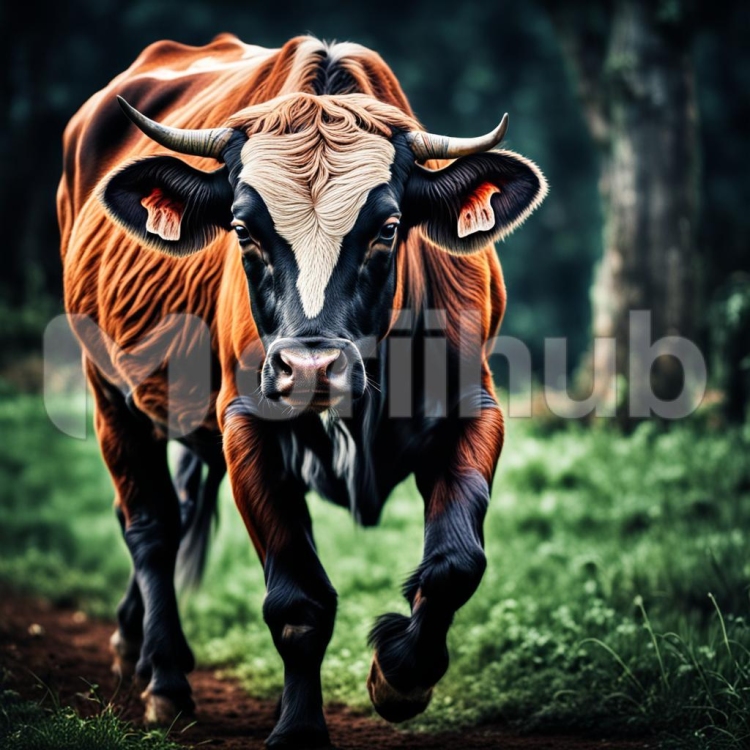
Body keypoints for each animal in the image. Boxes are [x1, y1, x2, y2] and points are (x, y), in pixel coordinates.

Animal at [58, 34, 547, 748]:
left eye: (389, 227)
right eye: (242, 229)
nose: (311, 367)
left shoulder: (473, 409)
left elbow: (456, 564)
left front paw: (398, 673)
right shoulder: (247, 424)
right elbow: (297, 603)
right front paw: (299, 728)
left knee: (176, 509)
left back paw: (133, 644)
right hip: (108, 391)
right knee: (150, 524)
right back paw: (166, 679)